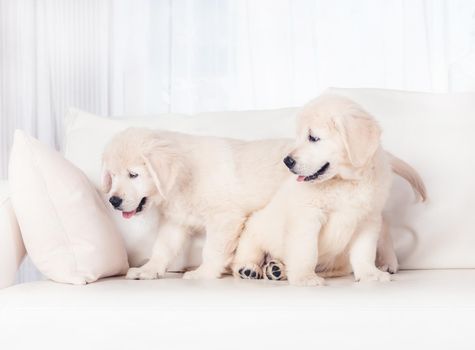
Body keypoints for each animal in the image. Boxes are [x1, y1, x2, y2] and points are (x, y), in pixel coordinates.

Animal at [232, 94, 426, 286]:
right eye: (299, 137)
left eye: (313, 138)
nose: (287, 161)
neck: (346, 182)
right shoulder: (308, 216)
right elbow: (306, 250)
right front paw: (304, 277)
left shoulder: (368, 219)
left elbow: (364, 252)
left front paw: (369, 274)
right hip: (256, 228)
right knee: (247, 254)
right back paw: (249, 269)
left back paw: (277, 269)